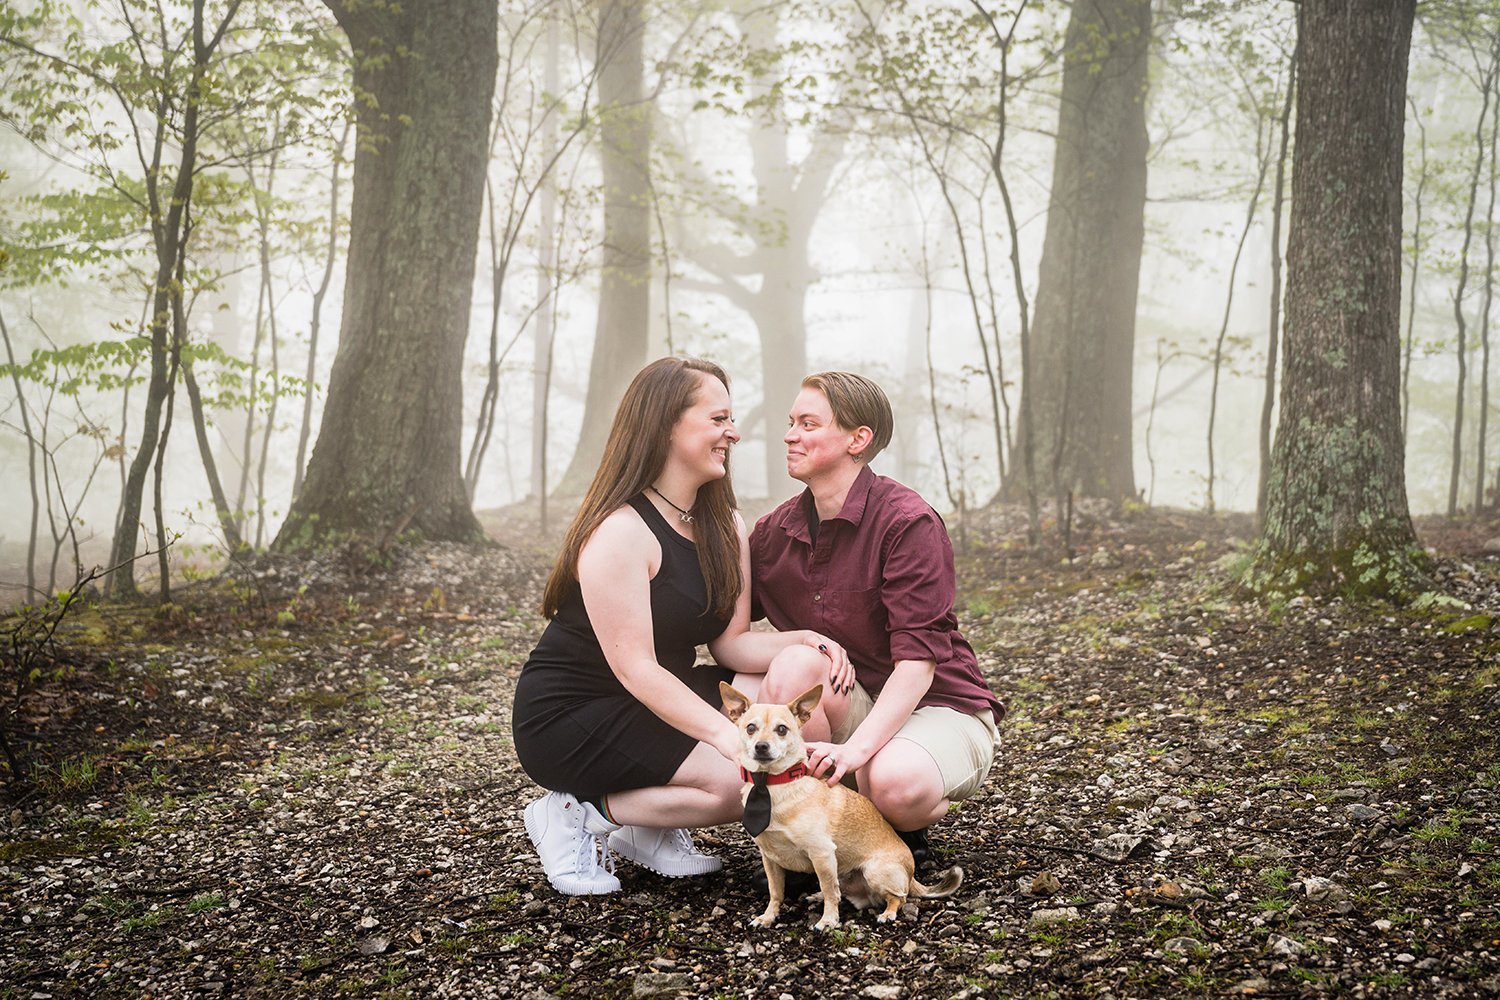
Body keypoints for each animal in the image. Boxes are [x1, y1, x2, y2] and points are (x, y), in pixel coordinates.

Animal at [723, 680, 960, 929]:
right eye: (750, 728)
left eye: (782, 729)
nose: (761, 746)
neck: (771, 785)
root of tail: (911, 874)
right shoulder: (770, 859)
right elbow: (775, 890)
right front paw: (768, 916)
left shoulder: (822, 853)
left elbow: (829, 889)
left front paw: (828, 920)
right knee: (843, 891)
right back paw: (816, 896)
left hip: (875, 871)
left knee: (898, 897)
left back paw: (887, 913)